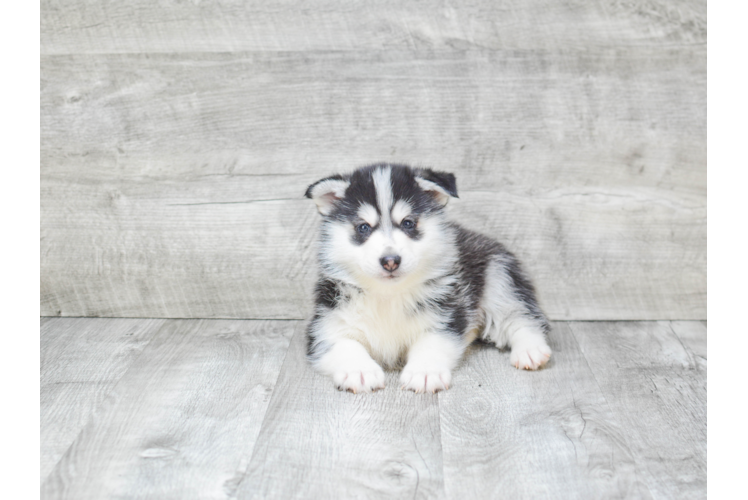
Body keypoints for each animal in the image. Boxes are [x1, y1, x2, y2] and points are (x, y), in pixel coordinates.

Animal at [302, 165, 548, 394]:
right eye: (363, 227)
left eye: (408, 223)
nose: (390, 261)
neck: (388, 296)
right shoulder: (326, 325)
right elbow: (344, 344)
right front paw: (359, 370)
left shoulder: (446, 316)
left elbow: (431, 342)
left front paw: (425, 371)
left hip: (498, 277)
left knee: (520, 317)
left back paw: (530, 349)